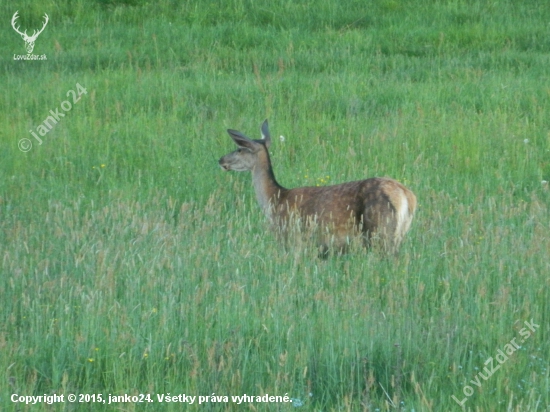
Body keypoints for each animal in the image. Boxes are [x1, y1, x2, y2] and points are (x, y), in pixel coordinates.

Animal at [220, 119, 418, 256]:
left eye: (239, 148)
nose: (221, 160)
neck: (275, 200)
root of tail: (406, 196)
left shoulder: (291, 237)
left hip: (380, 230)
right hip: (399, 233)